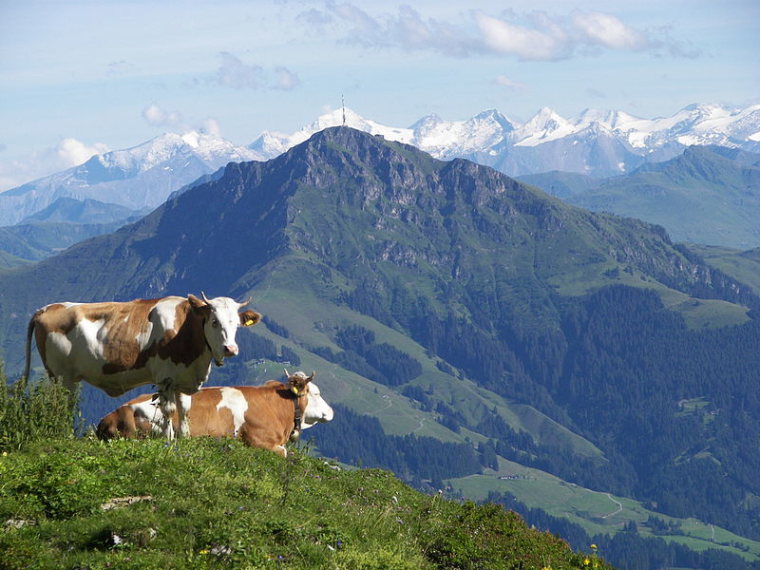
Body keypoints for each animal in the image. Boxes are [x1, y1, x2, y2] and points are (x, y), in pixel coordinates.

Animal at [24, 290, 262, 438]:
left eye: (237, 324)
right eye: (214, 321)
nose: (230, 349)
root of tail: (47, 308)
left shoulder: (183, 378)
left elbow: (185, 411)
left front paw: (185, 439)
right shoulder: (165, 378)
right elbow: (169, 411)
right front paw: (169, 442)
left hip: (68, 378)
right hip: (61, 375)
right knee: (62, 406)